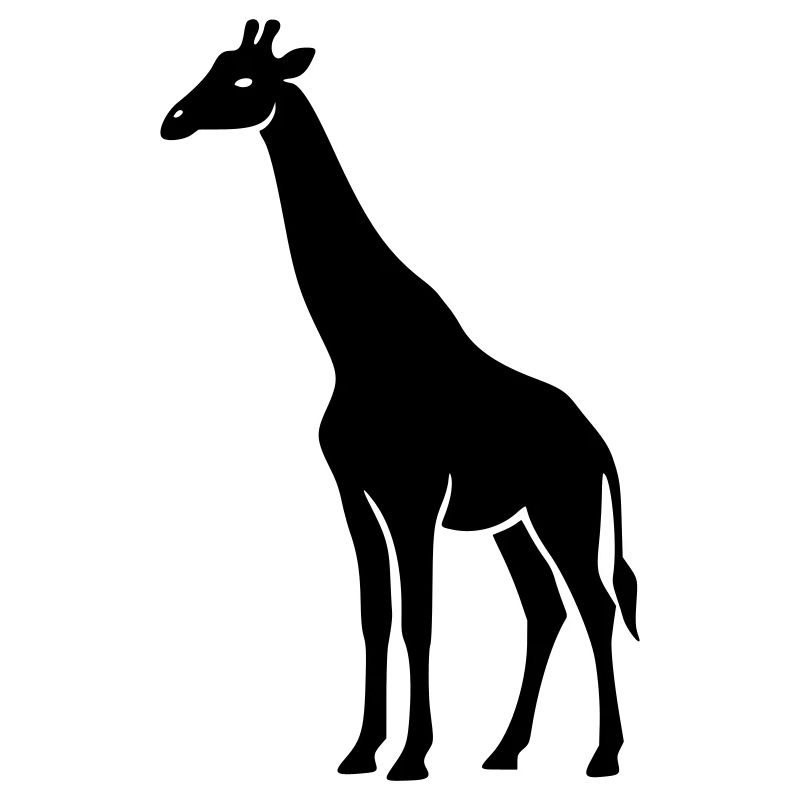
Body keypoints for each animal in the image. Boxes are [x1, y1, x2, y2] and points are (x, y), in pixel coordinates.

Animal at [161, 19, 639, 781]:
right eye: (211, 66)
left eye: (242, 80)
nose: (173, 120)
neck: (356, 344)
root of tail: (597, 442)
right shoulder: (354, 489)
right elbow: (375, 616)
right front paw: (361, 751)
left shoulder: (412, 494)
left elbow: (420, 618)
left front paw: (412, 756)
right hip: (511, 521)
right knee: (545, 608)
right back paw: (504, 751)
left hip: (562, 507)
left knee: (593, 604)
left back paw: (603, 755)